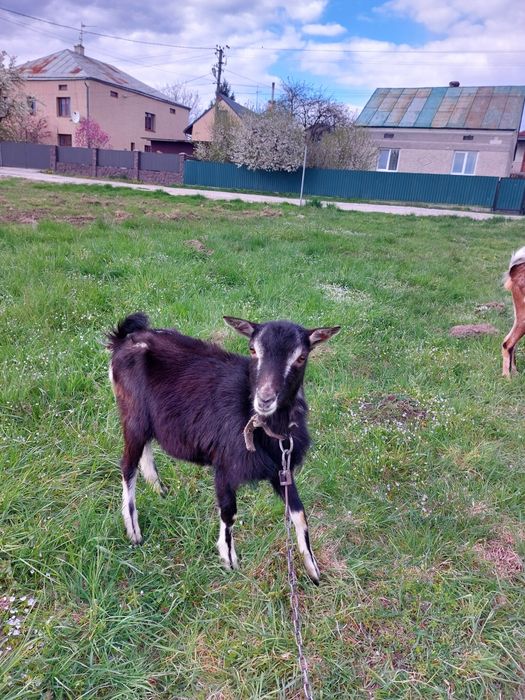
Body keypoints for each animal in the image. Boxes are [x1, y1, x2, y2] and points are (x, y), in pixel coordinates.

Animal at [107, 313, 340, 583]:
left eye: (301, 357)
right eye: (252, 350)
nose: (265, 399)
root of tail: (123, 339)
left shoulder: (281, 466)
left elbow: (300, 513)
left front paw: (314, 571)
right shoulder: (225, 465)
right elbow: (229, 512)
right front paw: (229, 562)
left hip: (146, 421)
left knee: (144, 452)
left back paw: (160, 490)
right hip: (132, 414)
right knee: (127, 466)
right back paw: (134, 531)